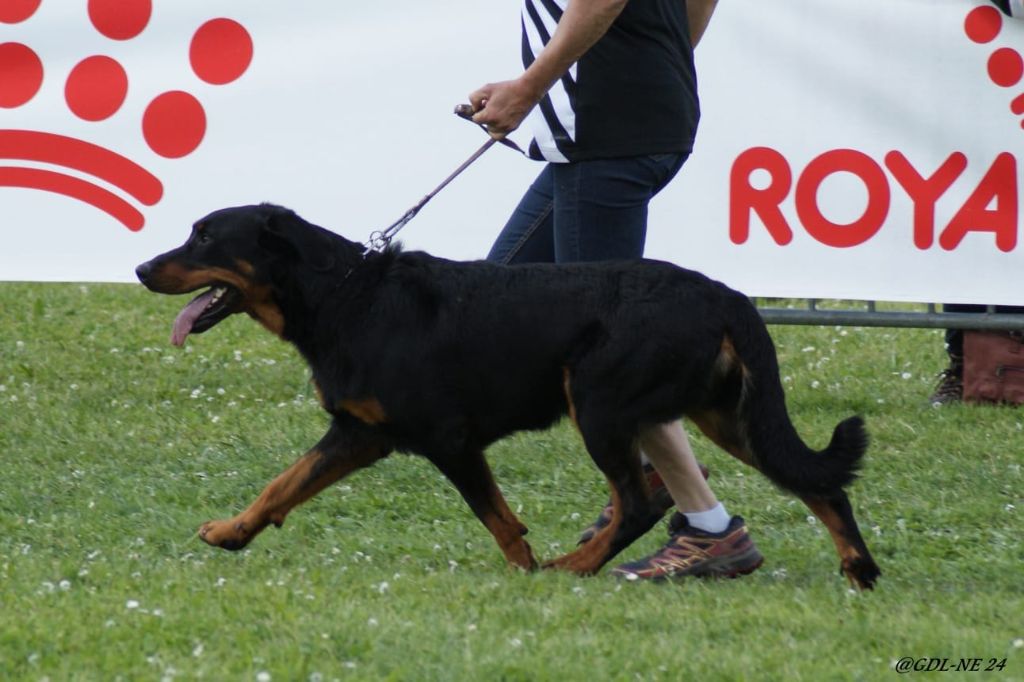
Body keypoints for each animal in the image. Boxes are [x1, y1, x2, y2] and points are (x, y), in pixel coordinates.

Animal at [138, 204, 880, 585]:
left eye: (204, 236)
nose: (142, 268)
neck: (346, 297)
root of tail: (724, 293)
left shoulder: (448, 440)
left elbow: (496, 517)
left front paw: (526, 568)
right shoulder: (359, 432)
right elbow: (283, 483)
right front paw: (231, 532)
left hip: (599, 401)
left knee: (638, 501)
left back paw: (574, 566)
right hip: (726, 413)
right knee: (819, 484)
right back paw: (859, 566)